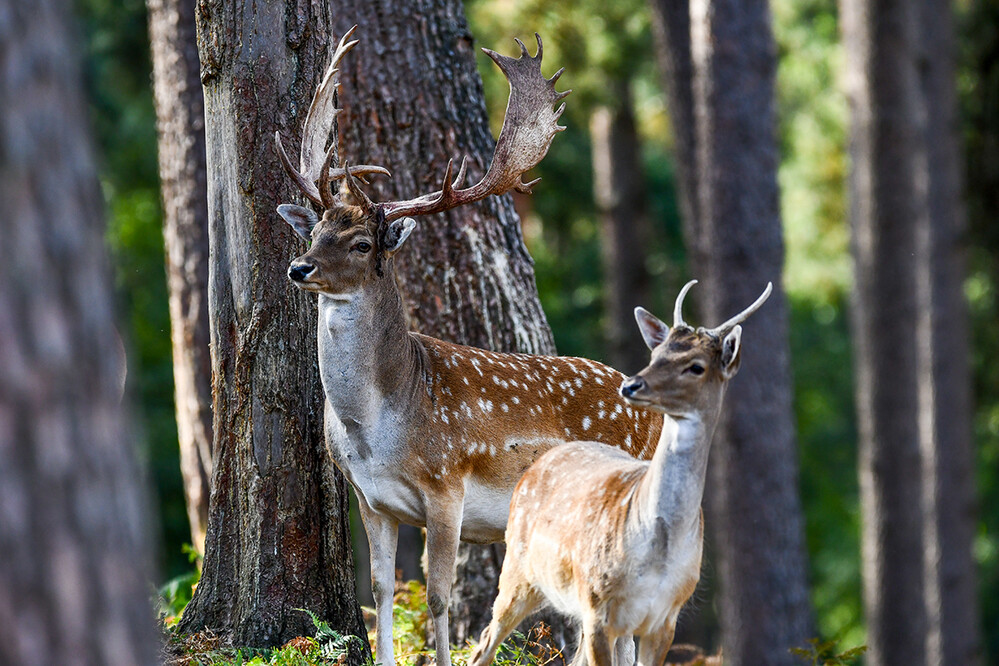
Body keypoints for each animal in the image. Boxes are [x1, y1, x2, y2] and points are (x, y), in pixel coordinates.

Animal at [274, 26, 664, 664]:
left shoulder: (446, 485)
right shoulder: (370, 500)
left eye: (361, 243)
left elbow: (438, 599)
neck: (377, 426)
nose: (299, 268)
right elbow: (381, 590)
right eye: (315, 231)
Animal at [468, 278, 772, 664]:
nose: (631, 385)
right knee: (483, 643)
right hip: (520, 573)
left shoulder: (666, 618)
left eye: (696, 366)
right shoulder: (599, 606)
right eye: (655, 355)